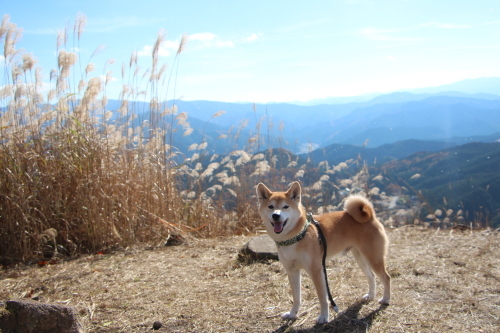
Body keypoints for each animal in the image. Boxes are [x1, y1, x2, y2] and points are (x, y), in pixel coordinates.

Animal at [258, 180, 390, 322]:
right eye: (270, 206)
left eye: (285, 207)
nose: (276, 215)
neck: (297, 236)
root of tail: (371, 216)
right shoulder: (292, 271)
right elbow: (296, 297)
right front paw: (292, 314)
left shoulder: (316, 270)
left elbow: (322, 297)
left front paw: (323, 317)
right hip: (360, 258)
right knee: (371, 276)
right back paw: (370, 296)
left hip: (373, 258)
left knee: (386, 277)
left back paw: (386, 299)